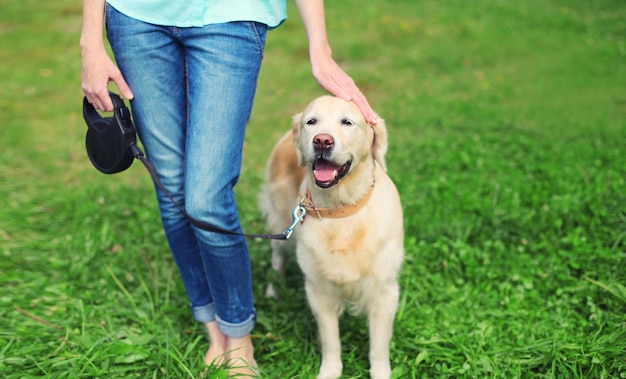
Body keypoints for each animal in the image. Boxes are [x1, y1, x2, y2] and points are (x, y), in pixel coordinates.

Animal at [258, 96, 400, 378]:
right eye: (311, 122)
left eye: (347, 122)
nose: (322, 140)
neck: (341, 211)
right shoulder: (318, 291)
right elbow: (331, 341)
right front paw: (330, 371)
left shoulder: (385, 292)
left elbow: (378, 348)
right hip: (280, 219)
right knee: (278, 258)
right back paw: (272, 289)